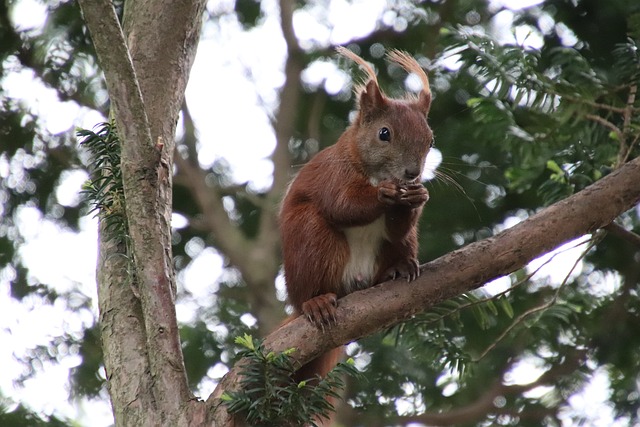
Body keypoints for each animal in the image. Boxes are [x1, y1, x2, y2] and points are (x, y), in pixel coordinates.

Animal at [278, 47, 432, 384]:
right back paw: (316, 302)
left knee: (397, 246)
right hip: (311, 238)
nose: (412, 173)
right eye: (384, 133)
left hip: (397, 249)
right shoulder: (333, 176)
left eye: (431, 140)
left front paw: (418, 197)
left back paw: (398, 268)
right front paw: (382, 195)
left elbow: (397, 227)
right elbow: (342, 205)